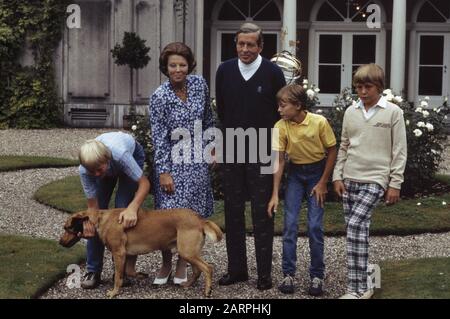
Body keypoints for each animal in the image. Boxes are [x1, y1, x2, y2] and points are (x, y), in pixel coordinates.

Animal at [59, 209, 222, 298]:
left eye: (68, 228)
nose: (60, 243)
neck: (101, 219)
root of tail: (200, 220)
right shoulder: (128, 254)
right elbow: (128, 271)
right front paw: (140, 275)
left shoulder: (119, 253)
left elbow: (118, 277)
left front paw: (114, 292)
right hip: (189, 252)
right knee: (197, 271)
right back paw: (188, 284)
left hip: (187, 251)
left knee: (208, 268)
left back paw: (207, 290)